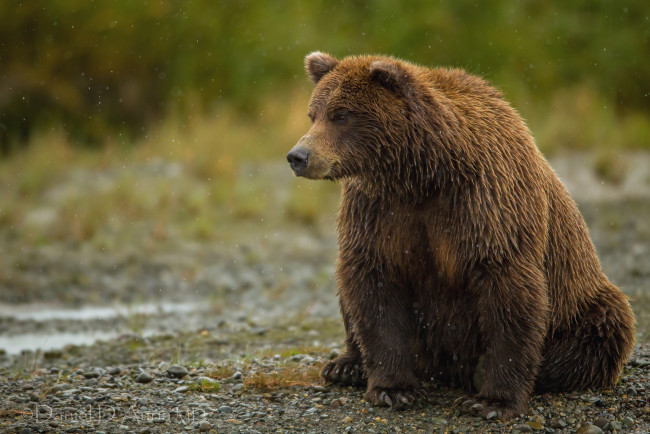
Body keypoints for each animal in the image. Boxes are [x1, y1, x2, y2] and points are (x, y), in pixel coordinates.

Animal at [284, 51, 632, 420]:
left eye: (341, 115)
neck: (422, 175)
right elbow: (374, 287)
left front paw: (492, 401)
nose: (298, 156)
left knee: (600, 331)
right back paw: (346, 365)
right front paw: (394, 389)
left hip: (582, 304)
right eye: (313, 114)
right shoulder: (377, 213)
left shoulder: (486, 205)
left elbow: (508, 293)